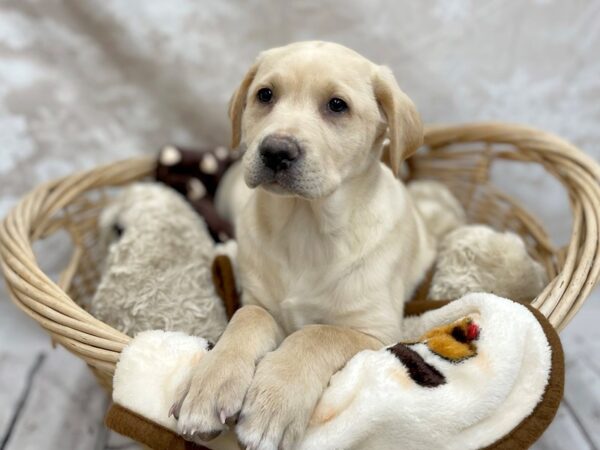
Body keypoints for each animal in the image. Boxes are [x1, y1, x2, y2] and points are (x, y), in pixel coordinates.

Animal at [171, 40, 434, 448]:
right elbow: (248, 318)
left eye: (337, 105)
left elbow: (316, 334)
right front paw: (209, 383)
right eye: (265, 95)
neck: (304, 226)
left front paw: (273, 403)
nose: (276, 150)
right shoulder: (257, 299)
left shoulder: (377, 333)